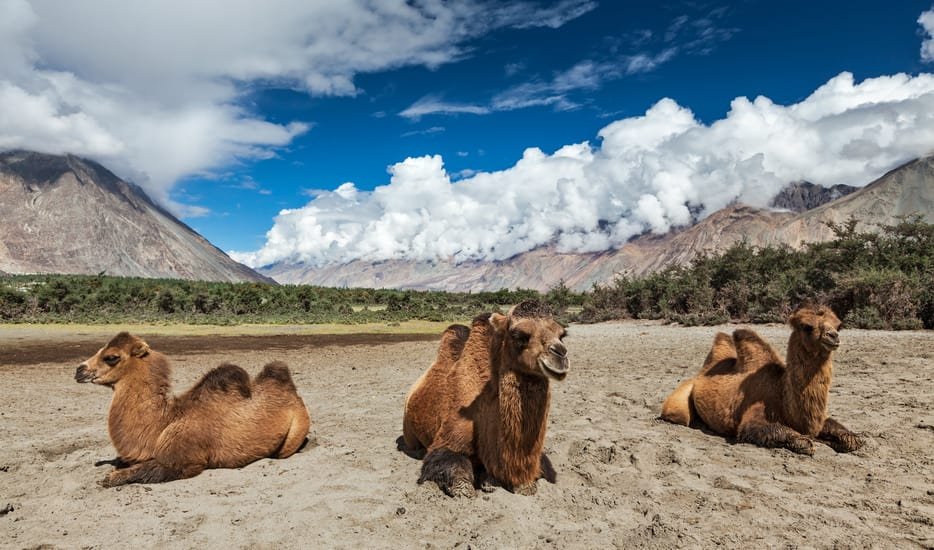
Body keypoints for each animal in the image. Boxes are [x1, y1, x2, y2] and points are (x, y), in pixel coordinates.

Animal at [74, 332, 310, 488]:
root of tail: (291, 392)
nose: (79, 370)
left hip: (295, 432)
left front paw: (110, 477)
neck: (162, 424)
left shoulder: (185, 462)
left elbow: (138, 472)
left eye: (111, 357)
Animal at [402, 302, 572, 500]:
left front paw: (491, 481)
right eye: (518, 335)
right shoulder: (446, 441)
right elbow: (459, 482)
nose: (560, 355)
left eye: (562, 335)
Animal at [660, 304, 868, 454]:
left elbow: (852, 439)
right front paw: (808, 442)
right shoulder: (753, 417)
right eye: (807, 327)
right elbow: (796, 439)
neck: (781, 393)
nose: (833, 336)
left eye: (838, 325)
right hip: (679, 403)